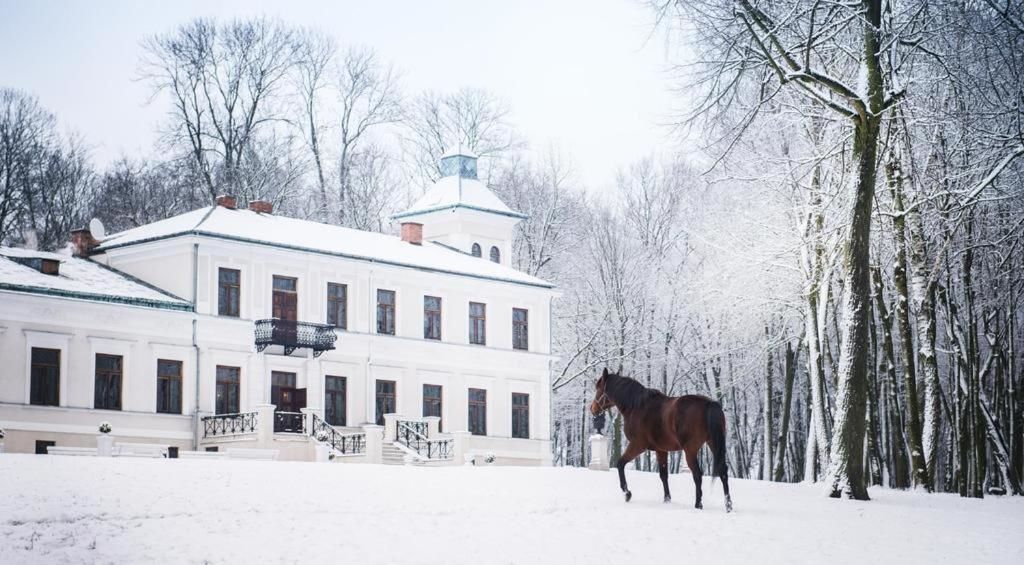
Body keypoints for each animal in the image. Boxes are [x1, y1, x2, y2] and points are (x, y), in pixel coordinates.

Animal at [589, 366, 733, 511]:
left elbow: (620, 464)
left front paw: (627, 493)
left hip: (690, 450)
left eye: (598, 388)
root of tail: (709, 403)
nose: (592, 408)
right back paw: (728, 505)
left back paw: (698, 504)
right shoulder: (661, 450)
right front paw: (667, 499)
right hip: (713, 443)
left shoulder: (637, 445)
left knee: (697, 474)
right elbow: (663, 475)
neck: (636, 406)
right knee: (723, 471)